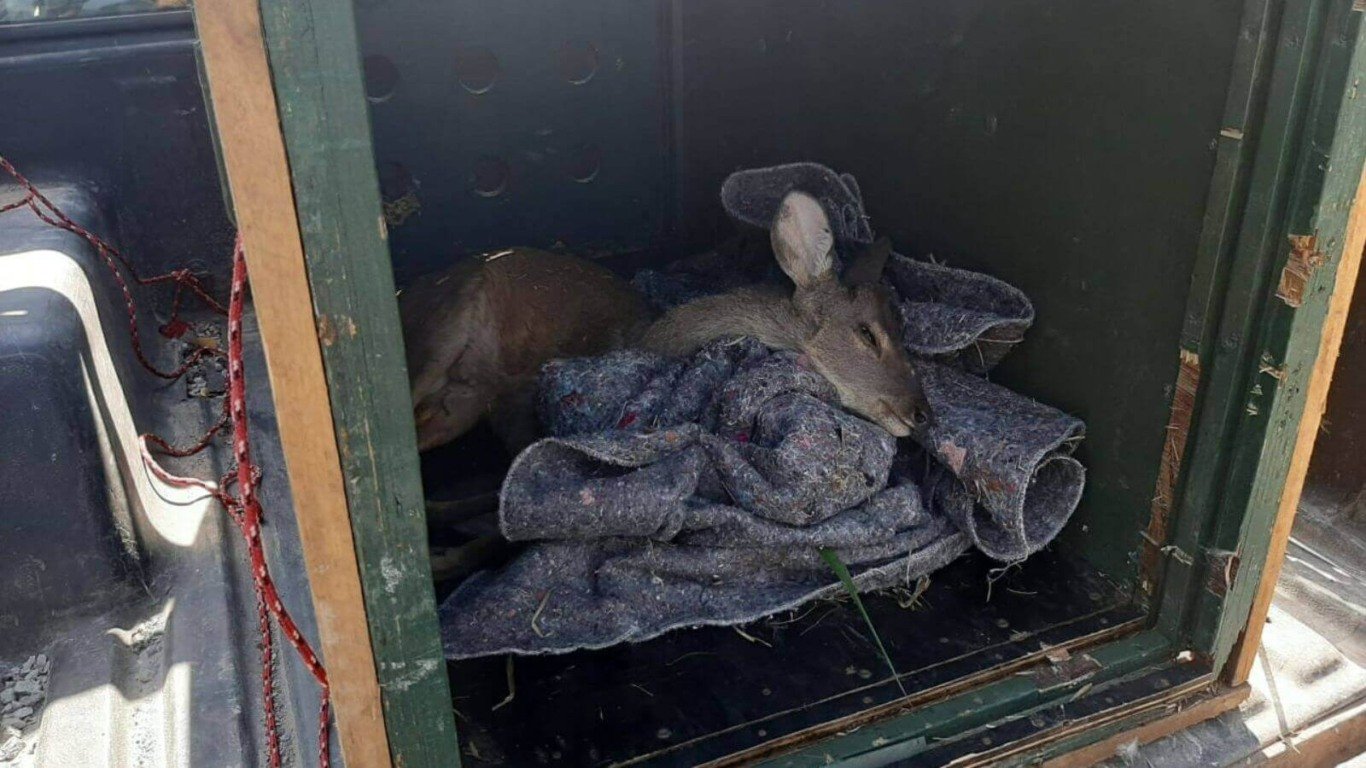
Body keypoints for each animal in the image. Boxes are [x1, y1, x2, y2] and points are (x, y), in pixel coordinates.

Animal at [400, 190, 930, 458]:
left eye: (905, 331)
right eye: (867, 333)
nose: (922, 412)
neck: (654, 336)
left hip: (462, 404)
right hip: (443, 326)